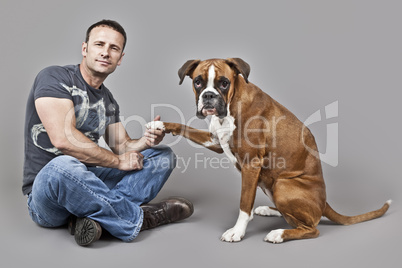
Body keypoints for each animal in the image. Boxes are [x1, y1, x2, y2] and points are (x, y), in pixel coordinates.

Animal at [146, 58, 392, 243]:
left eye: (224, 83)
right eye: (198, 82)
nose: (208, 96)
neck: (231, 105)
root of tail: (325, 203)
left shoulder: (251, 165)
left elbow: (244, 203)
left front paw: (237, 231)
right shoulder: (215, 141)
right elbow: (184, 127)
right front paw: (160, 126)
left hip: (282, 184)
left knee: (312, 227)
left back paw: (279, 234)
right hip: (270, 184)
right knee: (295, 217)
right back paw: (269, 211)